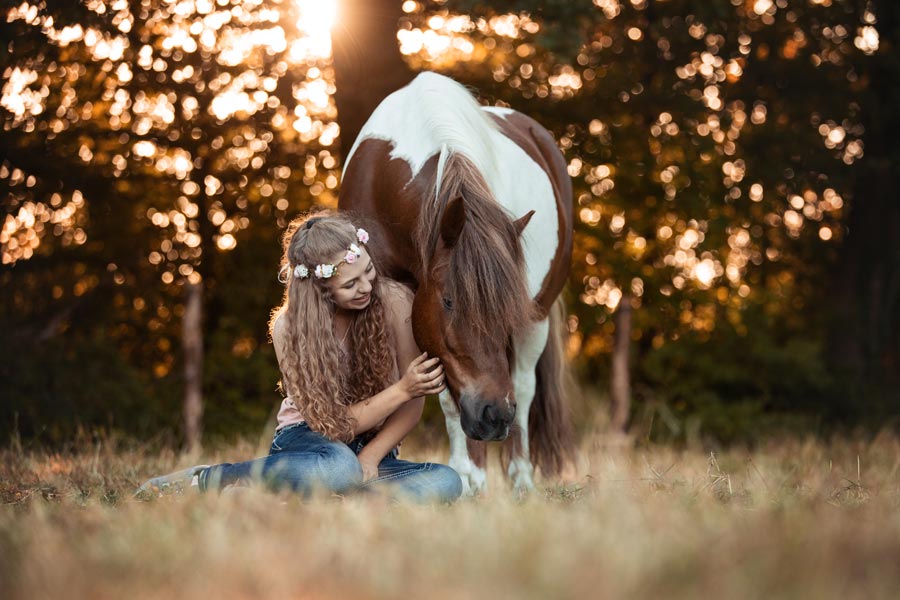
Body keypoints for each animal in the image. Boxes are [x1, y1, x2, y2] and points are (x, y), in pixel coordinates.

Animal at [338, 71, 576, 492]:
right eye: (448, 301)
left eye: (506, 306)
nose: (495, 416)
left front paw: (469, 478)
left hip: (537, 320)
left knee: (524, 388)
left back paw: (519, 480)